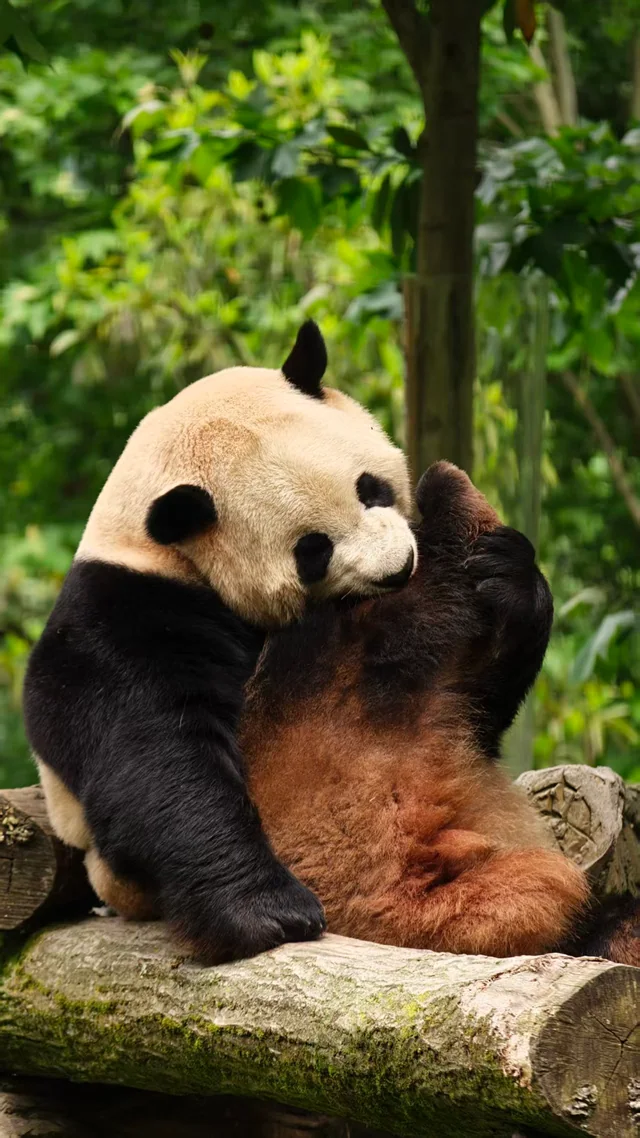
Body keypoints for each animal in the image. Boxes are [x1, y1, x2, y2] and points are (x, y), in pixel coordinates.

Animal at [22, 321, 418, 963]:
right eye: (312, 549)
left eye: (371, 488)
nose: (397, 569)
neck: (158, 546)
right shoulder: (126, 618)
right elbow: (160, 757)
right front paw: (271, 916)